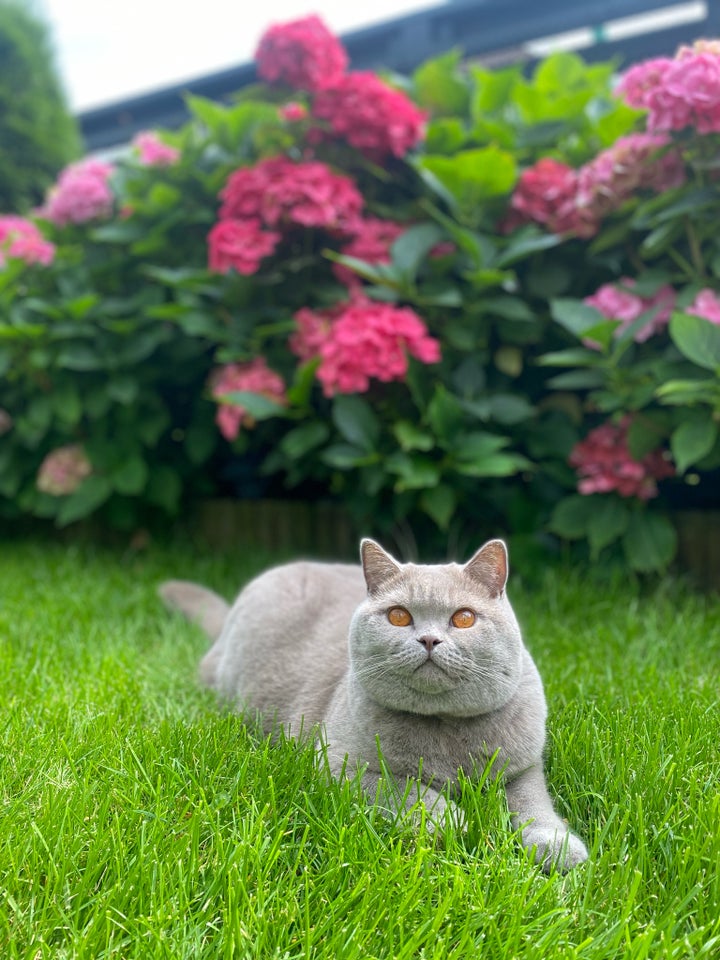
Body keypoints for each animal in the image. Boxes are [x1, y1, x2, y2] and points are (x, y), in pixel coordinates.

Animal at [160, 536, 588, 872]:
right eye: (398, 616)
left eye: (464, 618)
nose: (429, 639)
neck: (444, 729)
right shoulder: (339, 766)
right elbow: (400, 788)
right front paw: (450, 819)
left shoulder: (523, 765)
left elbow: (533, 801)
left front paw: (557, 845)